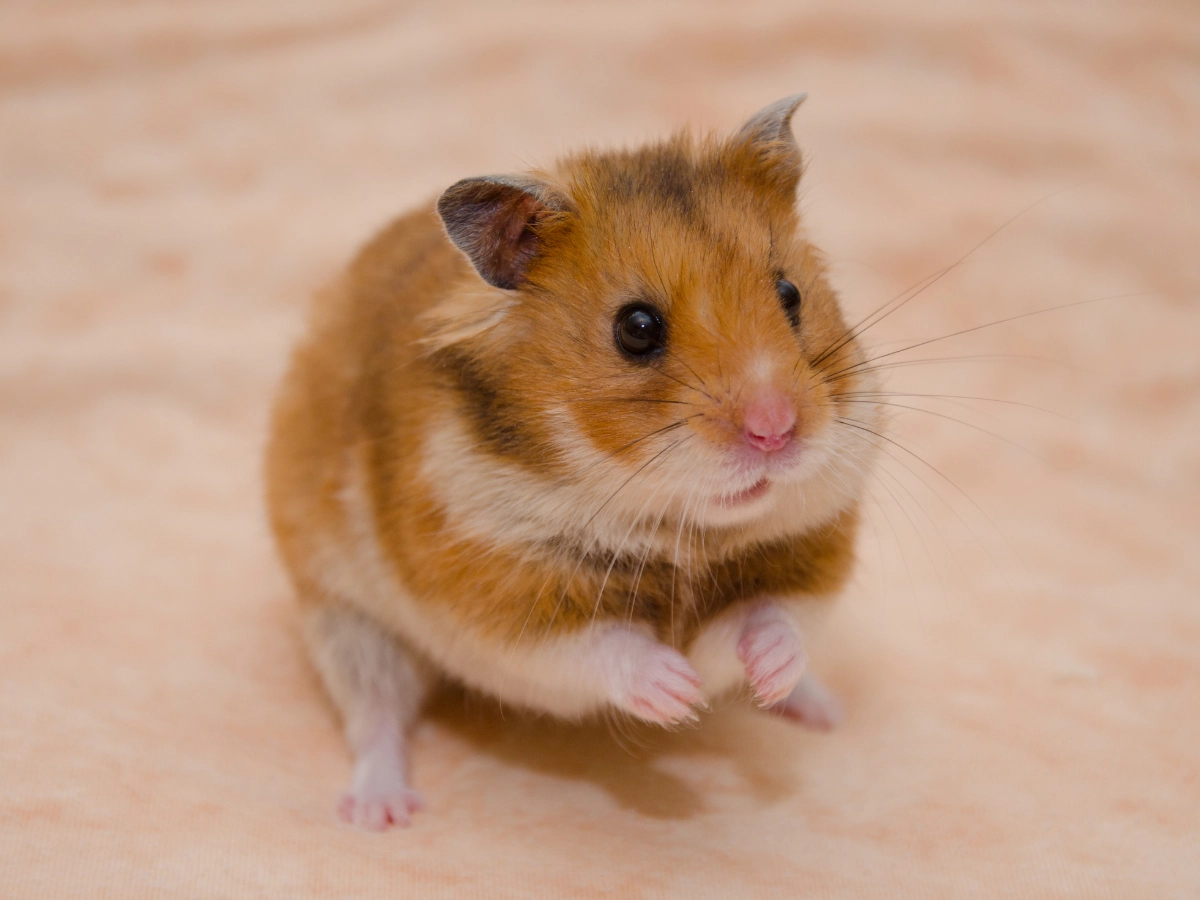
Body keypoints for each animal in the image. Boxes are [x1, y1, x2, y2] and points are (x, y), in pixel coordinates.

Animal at [265, 95, 881, 830]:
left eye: (790, 295)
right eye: (636, 329)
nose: (775, 431)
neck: (680, 528)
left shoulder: (809, 553)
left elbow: (769, 617)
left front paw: (757, 673)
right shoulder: (496, 594)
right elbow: (604, 645)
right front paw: (679, 693)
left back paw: (822, 710)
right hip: (346, 621)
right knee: (375, 716)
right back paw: (379, 813)